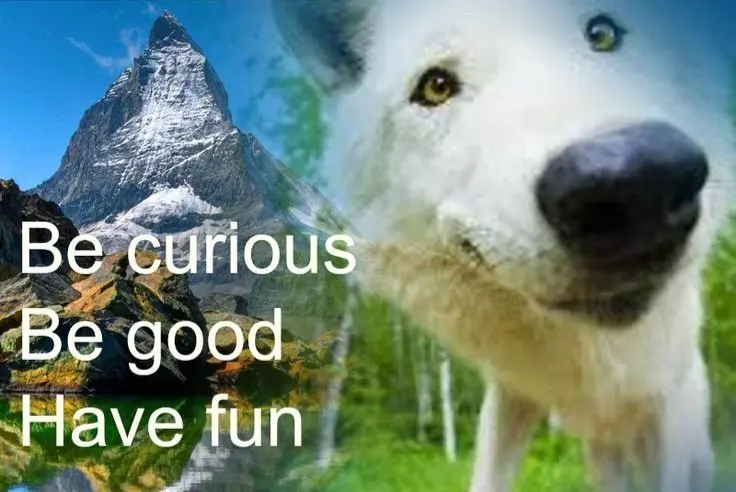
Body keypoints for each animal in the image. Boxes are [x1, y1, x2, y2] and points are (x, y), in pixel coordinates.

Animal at [272, 1, 736, 490]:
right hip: (602, 453)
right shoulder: (510, 395)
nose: (636, 181)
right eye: (436, 86)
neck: (588, 359)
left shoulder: (665, 410)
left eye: (603, 33)